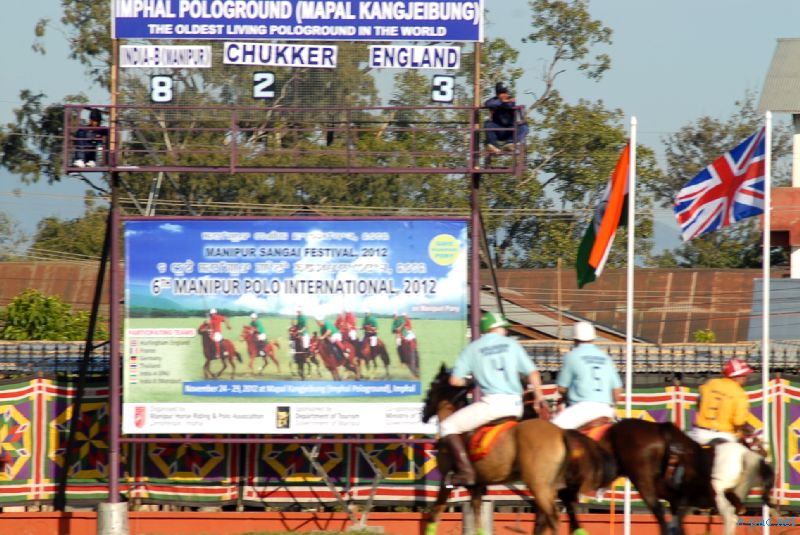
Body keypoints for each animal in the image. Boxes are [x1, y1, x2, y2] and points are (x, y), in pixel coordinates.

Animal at [422, 364, 615, 535]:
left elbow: (434, 513)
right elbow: (477, 521)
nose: (423, 413)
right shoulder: (477, 486)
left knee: (552, 517)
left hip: (540, 485)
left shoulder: (446, 481)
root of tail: (561, 433)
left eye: (431, 387)